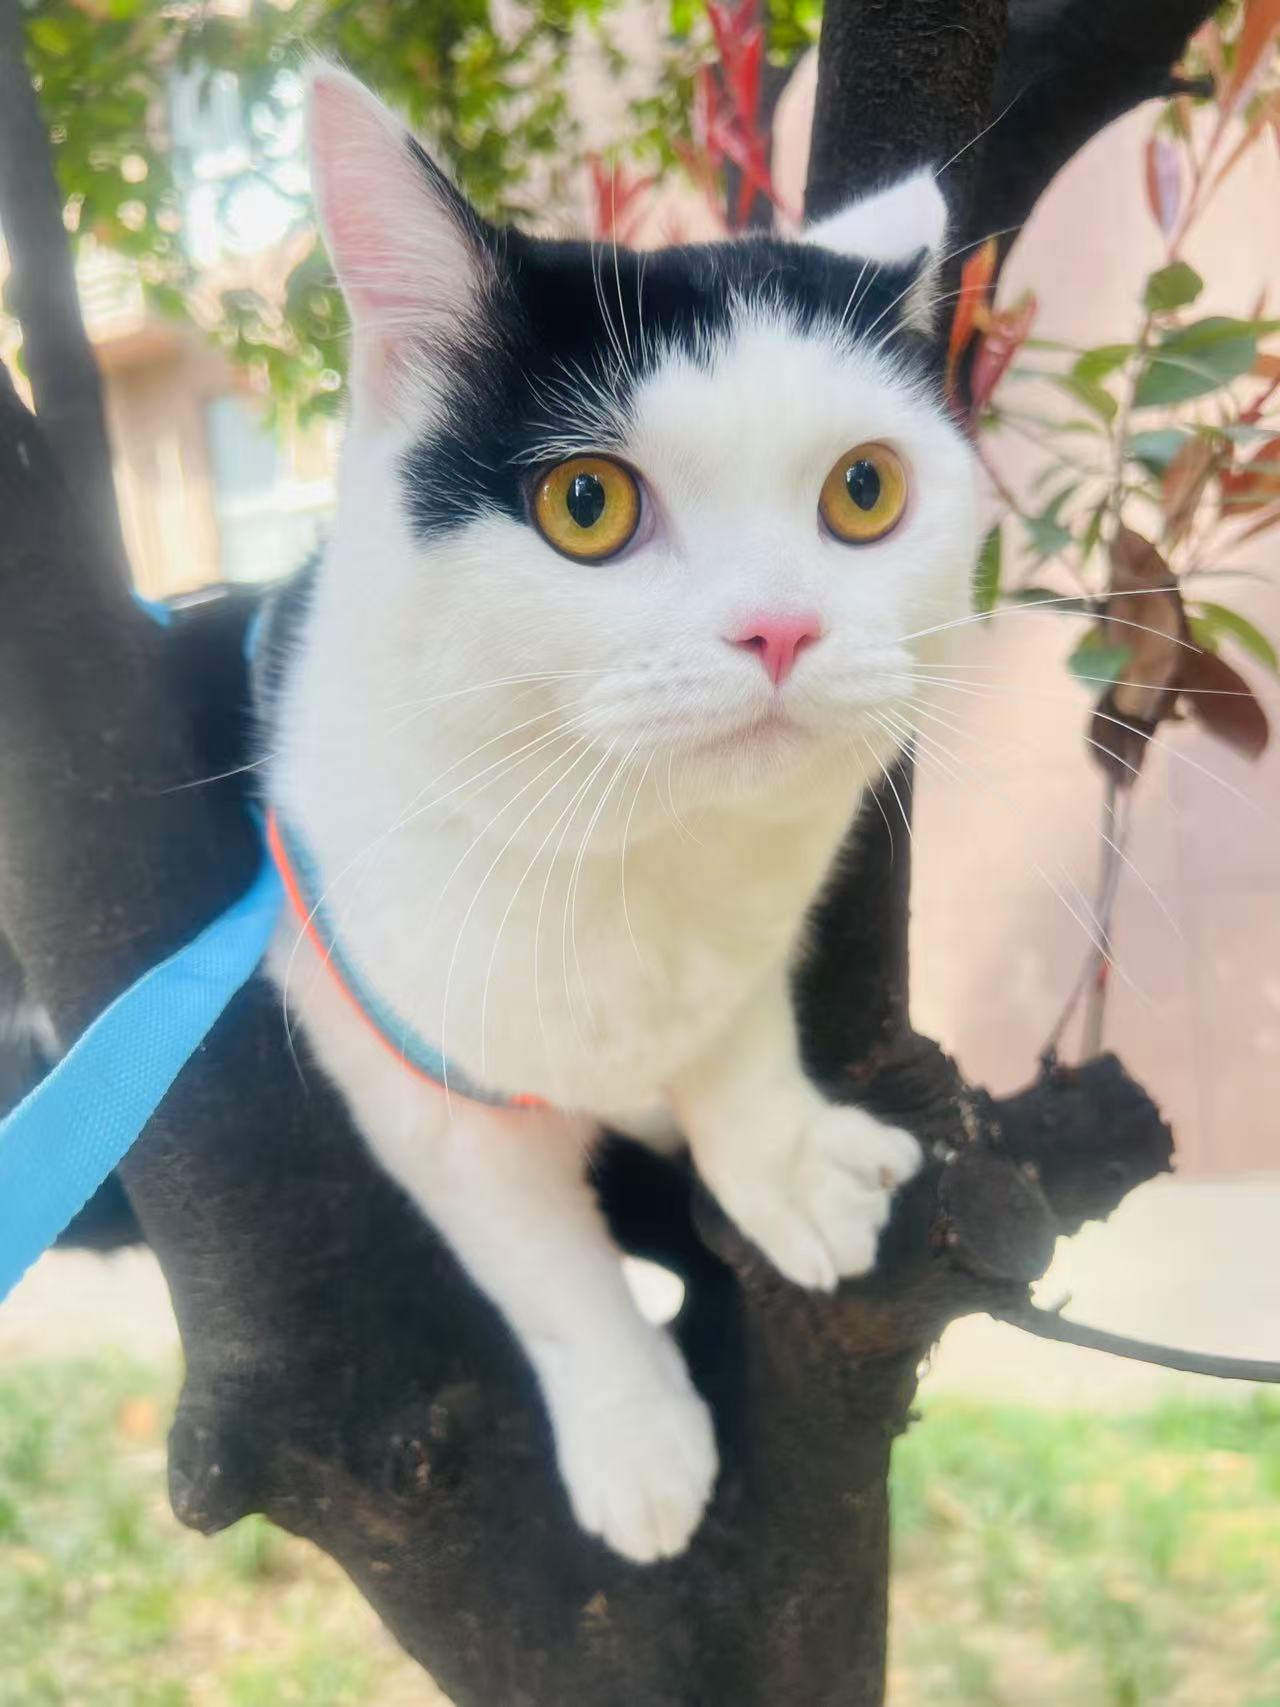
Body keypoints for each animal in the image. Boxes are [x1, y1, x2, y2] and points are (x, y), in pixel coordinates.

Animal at [262, 64, 979, 1564]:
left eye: (866, 489)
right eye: (584, 503)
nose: (780, 627)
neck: (633, 853)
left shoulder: (746, 941)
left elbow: (739, 1034)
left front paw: (783, 1165)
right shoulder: (389, 1048)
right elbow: (540, 1261)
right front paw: (635, 1436)